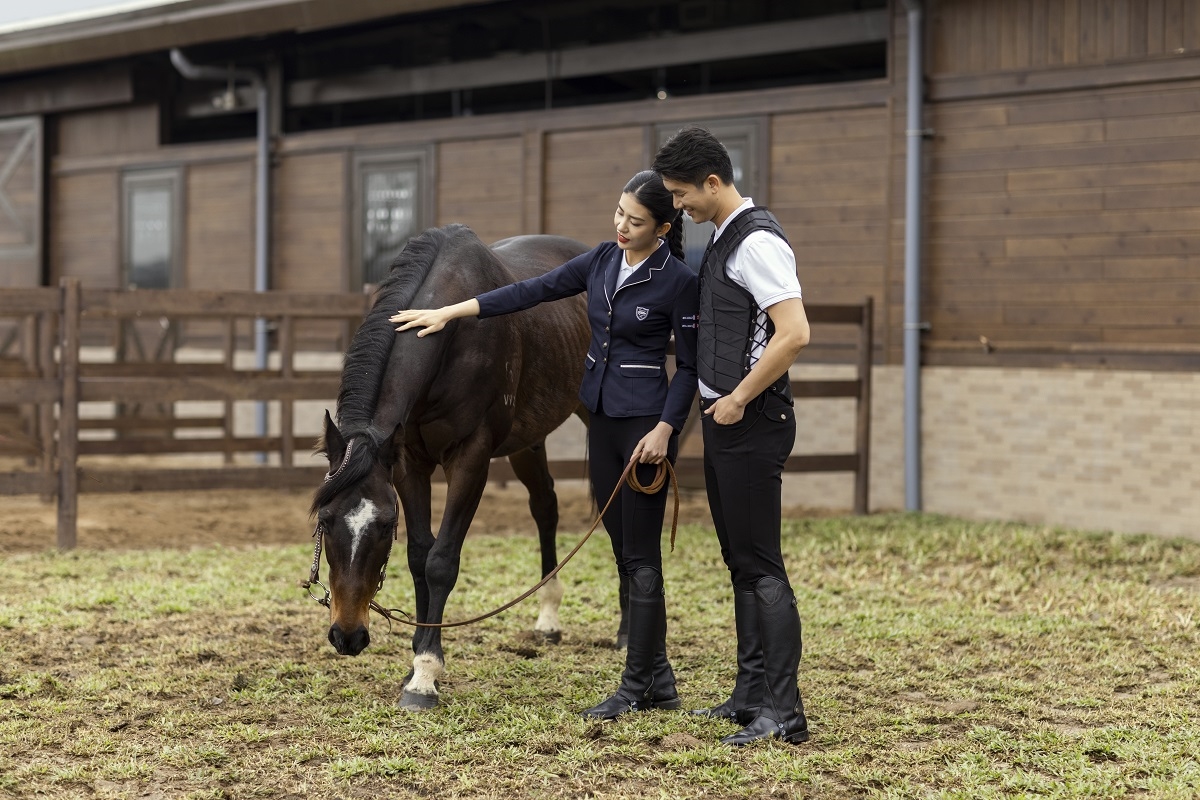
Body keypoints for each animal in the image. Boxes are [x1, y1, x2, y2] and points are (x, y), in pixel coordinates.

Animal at [309, 221, 590, 710]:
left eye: (385, 525)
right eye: (325, 520)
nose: (347, 635)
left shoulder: (471, 458)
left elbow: (441, 560)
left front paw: (424, 676)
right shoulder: (409, 463)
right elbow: (420, 556)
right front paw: (415, 661)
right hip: (528, 440)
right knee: (545, 506)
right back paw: (549, 618)